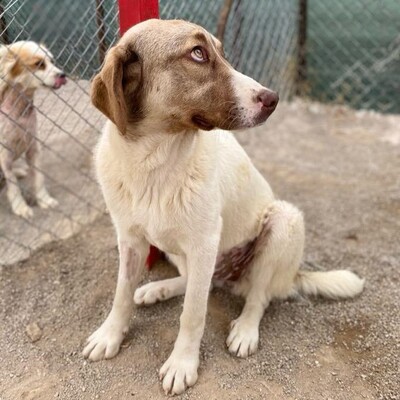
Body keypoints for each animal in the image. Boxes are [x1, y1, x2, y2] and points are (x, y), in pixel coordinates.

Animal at [0, 39, 66, 219]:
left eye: (52, 61)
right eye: (39, 64)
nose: (63, 75)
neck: (19, 111)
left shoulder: (33, 147)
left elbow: (39, 177)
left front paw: (44, 199)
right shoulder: (4, 155)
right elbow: (13, 186)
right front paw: (20, 207)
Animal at [83, 19, 364, 396]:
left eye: (219, 51)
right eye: (197, 53)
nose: (273, 99)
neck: (154, 164)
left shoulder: (204, 243)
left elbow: (192, 314)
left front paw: (182, 363)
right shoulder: (130, 239)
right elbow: (121, 294)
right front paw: (110, 335)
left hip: (283, 221)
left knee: (257, 296)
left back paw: (245, 330)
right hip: (185, 252)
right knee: (198, 282)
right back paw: (158, 289)